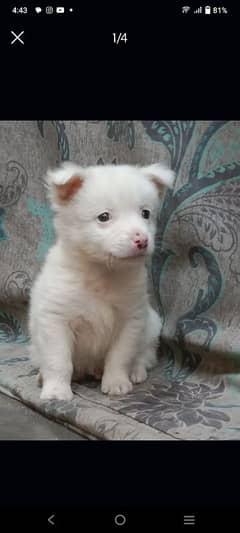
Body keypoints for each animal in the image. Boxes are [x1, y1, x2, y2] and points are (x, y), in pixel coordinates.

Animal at [29, 162, 174, 400]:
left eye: (146, 213)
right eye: (104, 217)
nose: (142, 240)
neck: (102, 274)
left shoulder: (131, 320)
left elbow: (120, 357)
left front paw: (116, 382)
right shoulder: (55, 320)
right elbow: (58, 361)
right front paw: (57, 391)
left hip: (151, 327)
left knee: (144, 355)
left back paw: (136, 371)